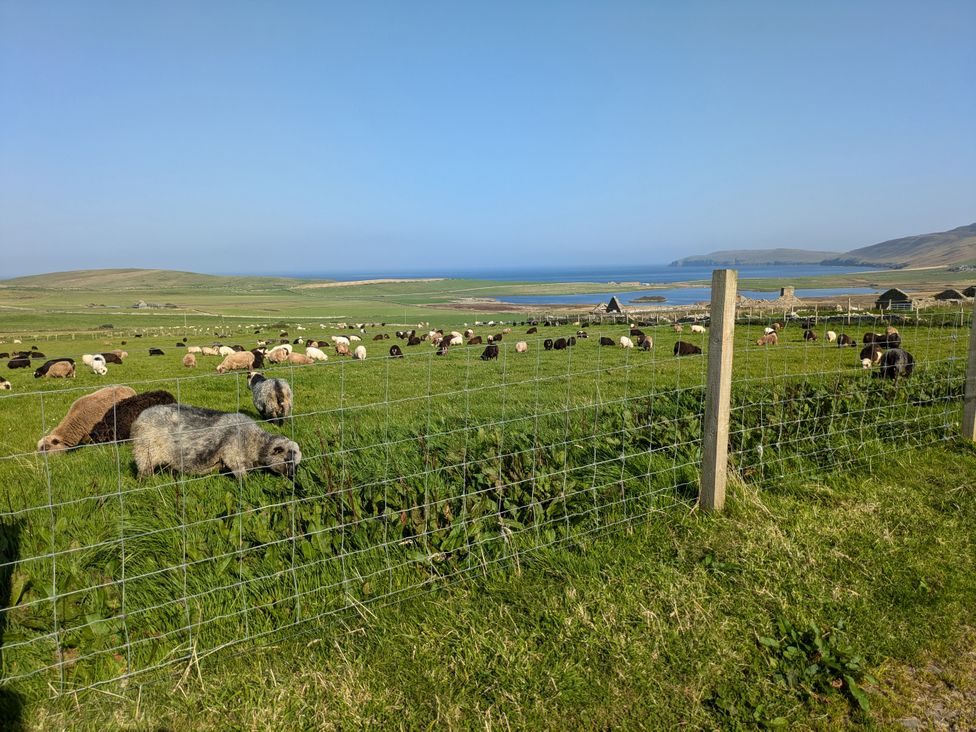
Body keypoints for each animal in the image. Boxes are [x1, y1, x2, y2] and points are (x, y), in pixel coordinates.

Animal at [130, 405, 301, 479]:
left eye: (297, 463)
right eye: (287, 460)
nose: (293, 477)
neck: (255, 443)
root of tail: (140, 417)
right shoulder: (233, 457)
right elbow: (243, 478)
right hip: (145, 453)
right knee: (143, 472)